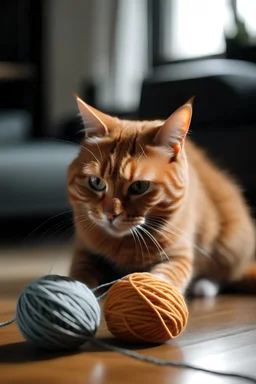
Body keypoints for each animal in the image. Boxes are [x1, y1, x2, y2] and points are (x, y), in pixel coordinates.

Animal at [67, 96, 255, 296]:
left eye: (139, 186)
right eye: (96, 182)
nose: (110, 215)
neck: (125, 244)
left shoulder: (179, 256)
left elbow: (162, 280)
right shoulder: (83, 251)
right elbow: (80, 274)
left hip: (233, 244)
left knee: (225, 274)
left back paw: (204, 286)